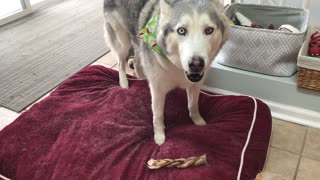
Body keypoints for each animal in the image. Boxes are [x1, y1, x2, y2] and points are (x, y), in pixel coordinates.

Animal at [104, 0, 230, 146]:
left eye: (209, 30)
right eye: (181, 30)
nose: (196, 64)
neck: (178, 68)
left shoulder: (195, 85)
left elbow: (193, 104)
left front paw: (198, 120)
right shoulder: (158, 90)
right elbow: (158, 115)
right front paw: (159, 136)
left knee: (136, 61)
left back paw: (141, 77)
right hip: (122, 42)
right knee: (120, 63)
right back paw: (124, 83)